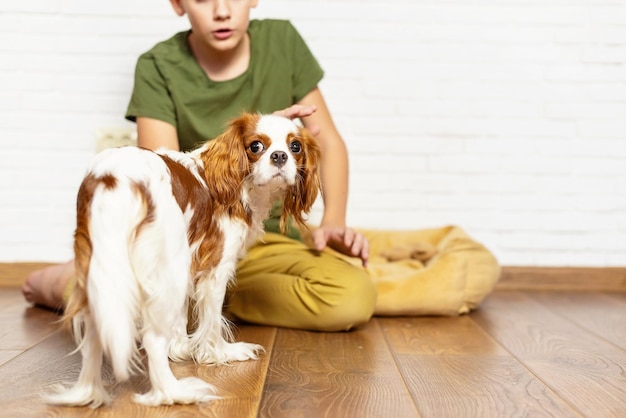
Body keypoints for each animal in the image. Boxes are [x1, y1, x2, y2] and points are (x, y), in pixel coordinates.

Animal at [48, 112, 320, 406]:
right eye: (256, 146)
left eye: (295, 147)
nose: (280, 156)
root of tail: (114, 179)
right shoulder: (214, 270)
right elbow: (211, 320)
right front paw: (220, 353)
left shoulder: (184, 263)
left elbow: (179, 318)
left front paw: (180, 349)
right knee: (152, 338)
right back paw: (175, 392)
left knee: (94, 336)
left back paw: (88, 393)